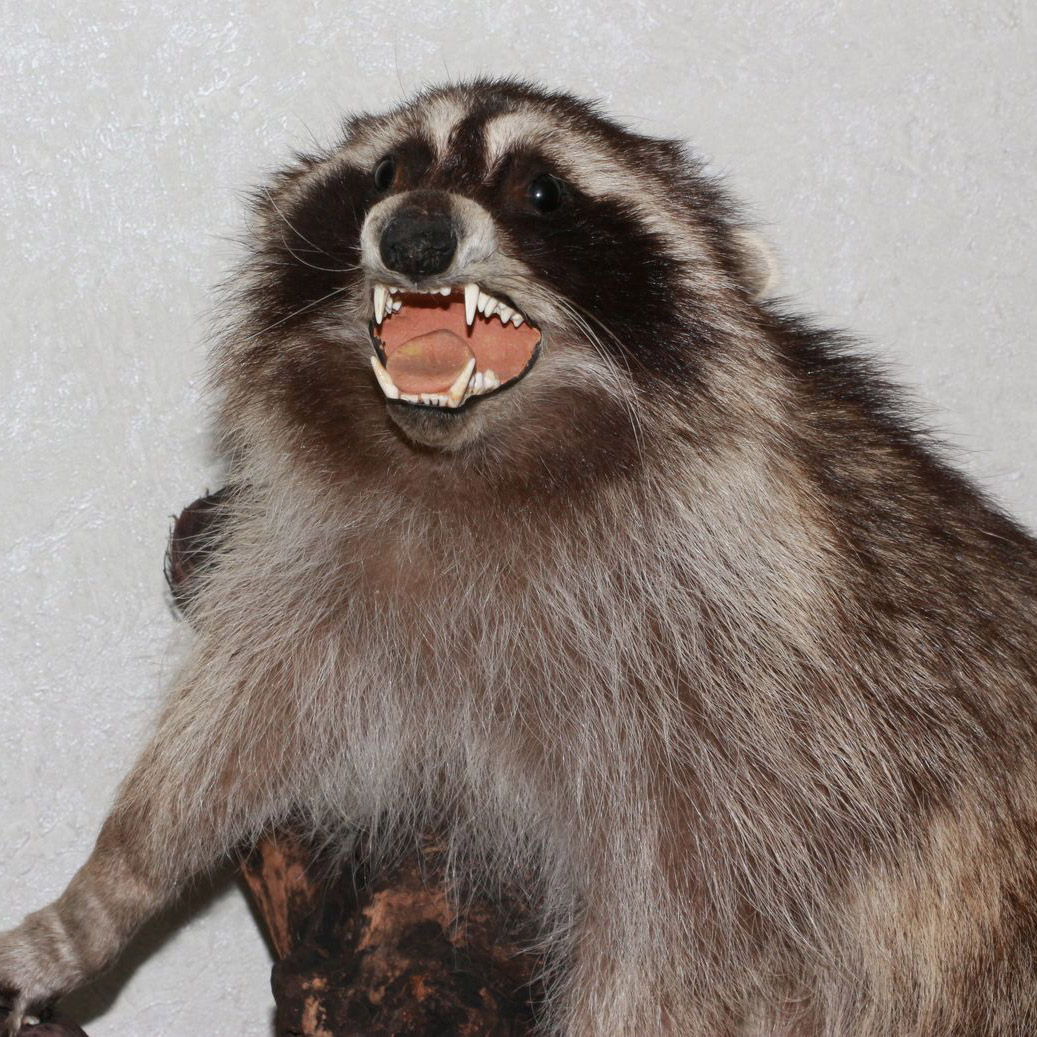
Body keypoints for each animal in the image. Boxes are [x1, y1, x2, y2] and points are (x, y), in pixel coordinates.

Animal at [3, 78, 1037, 1036]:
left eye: (542, 192)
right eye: (389, 171)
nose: (416, 233)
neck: (470, 473)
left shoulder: (757, 707)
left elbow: (685, 947)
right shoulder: (320, 566)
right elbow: (233, 727)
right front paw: (104, 888)